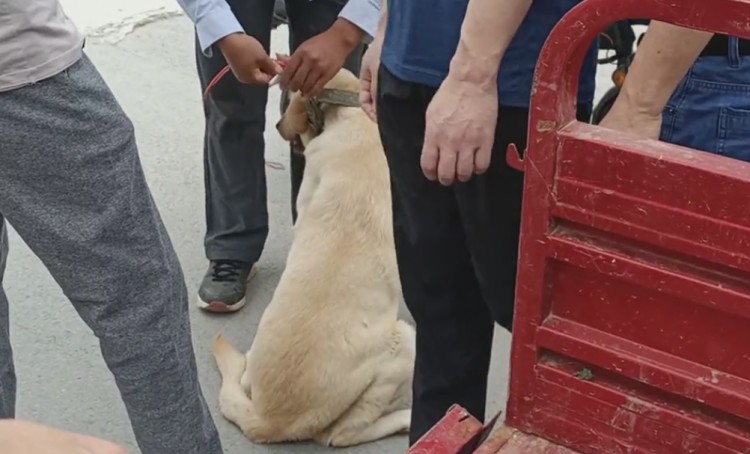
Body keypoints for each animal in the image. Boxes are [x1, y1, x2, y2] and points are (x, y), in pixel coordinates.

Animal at [213, 69, 418, 448]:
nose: (278, 125)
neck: (350, 115)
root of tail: (269, 421)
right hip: (403, 341)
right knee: (342, 435)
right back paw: (405, 420)